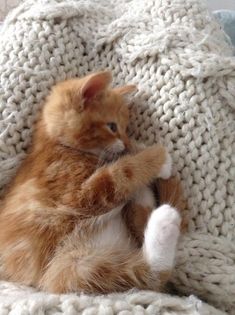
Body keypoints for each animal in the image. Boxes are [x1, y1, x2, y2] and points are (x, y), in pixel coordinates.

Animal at [0, 71, 183, 294]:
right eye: (112, 126)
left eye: (125, 129)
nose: (126, 144)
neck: (59, 146)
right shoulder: (76, 196)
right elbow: (122, 173)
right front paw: (159, 158)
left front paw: (138, 151)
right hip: (73, 269)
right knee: (148, 275)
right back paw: (165, 220)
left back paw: (147, 199)